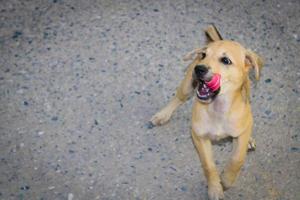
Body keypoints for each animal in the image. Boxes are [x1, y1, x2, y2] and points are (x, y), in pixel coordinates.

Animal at [150, 25, 262, 199]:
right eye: (204, 55)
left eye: (226, 60)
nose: (199, 69)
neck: (218, 108)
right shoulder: (199, 137)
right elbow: (209, 166)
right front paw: (215, 188)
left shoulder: (241, 132)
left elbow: (237, 158)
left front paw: (227, 179)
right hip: (187, 85)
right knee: (178, 98)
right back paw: (163, 115)